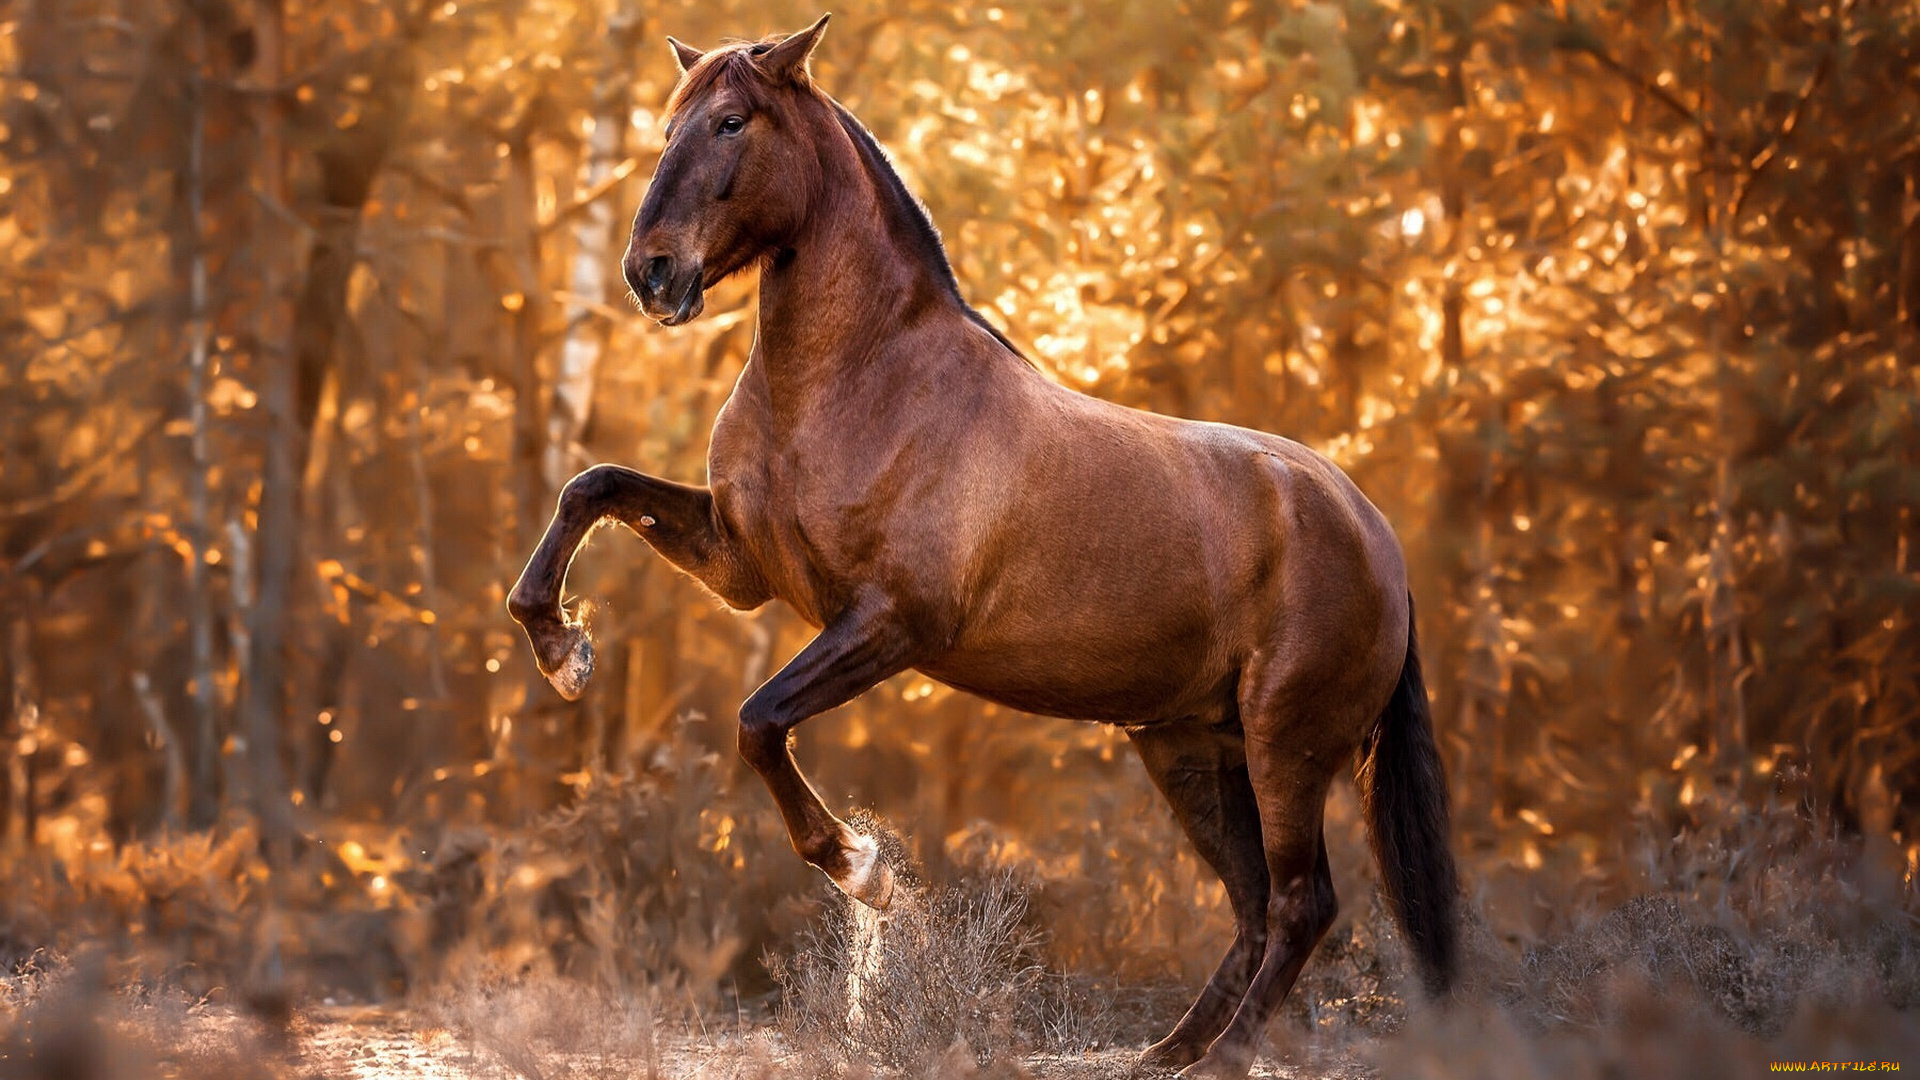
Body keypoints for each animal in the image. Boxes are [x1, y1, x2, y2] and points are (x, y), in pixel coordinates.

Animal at [506, 16, 1459, 1077]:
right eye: (670, 124)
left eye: (729, 122)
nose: (652, 274)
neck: (859, 380)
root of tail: (1374, 538)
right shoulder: (739, 565)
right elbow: (591, 487)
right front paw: (561, 653)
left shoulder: (891, 623)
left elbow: (759, 721)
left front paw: (863, 870)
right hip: (1187, 750)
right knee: (1253, 907)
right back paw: (1167, 1053)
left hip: (1285, 745)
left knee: (1301, 905)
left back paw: (1217, 1058)